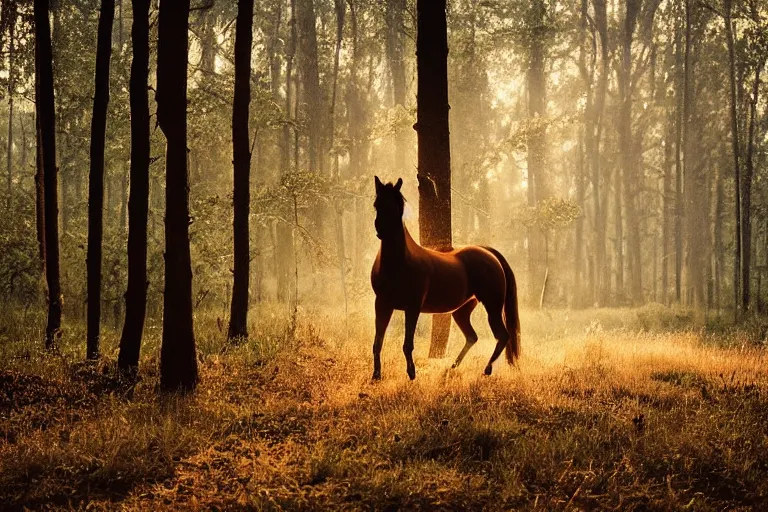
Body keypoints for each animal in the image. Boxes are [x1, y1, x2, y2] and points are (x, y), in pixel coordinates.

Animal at [368, 177, 520, 380]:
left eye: (398, 205)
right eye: (377, 204)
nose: (381, 230)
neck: (398, 263)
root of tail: (488, 253)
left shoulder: (412, 307)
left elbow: (408, 344)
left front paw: (412, 373)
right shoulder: (382, 304)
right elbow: (378, 342)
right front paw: (376, 375)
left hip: (492, 307)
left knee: (502, 336)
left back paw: (486, 370)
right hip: (462, 311)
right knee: (472, 336)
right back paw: (451, 368)